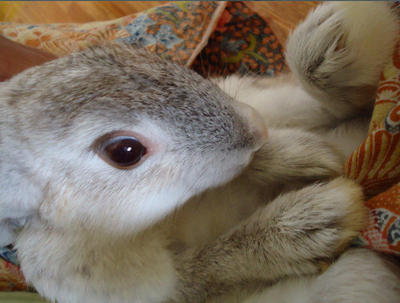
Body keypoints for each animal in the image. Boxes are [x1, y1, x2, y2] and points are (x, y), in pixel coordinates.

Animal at [0, 2, 398, 303]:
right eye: (125, 151)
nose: (255, 126)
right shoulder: (156, 286)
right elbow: (209, 267)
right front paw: (317, 219)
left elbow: (328, 103)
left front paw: (337, 33)